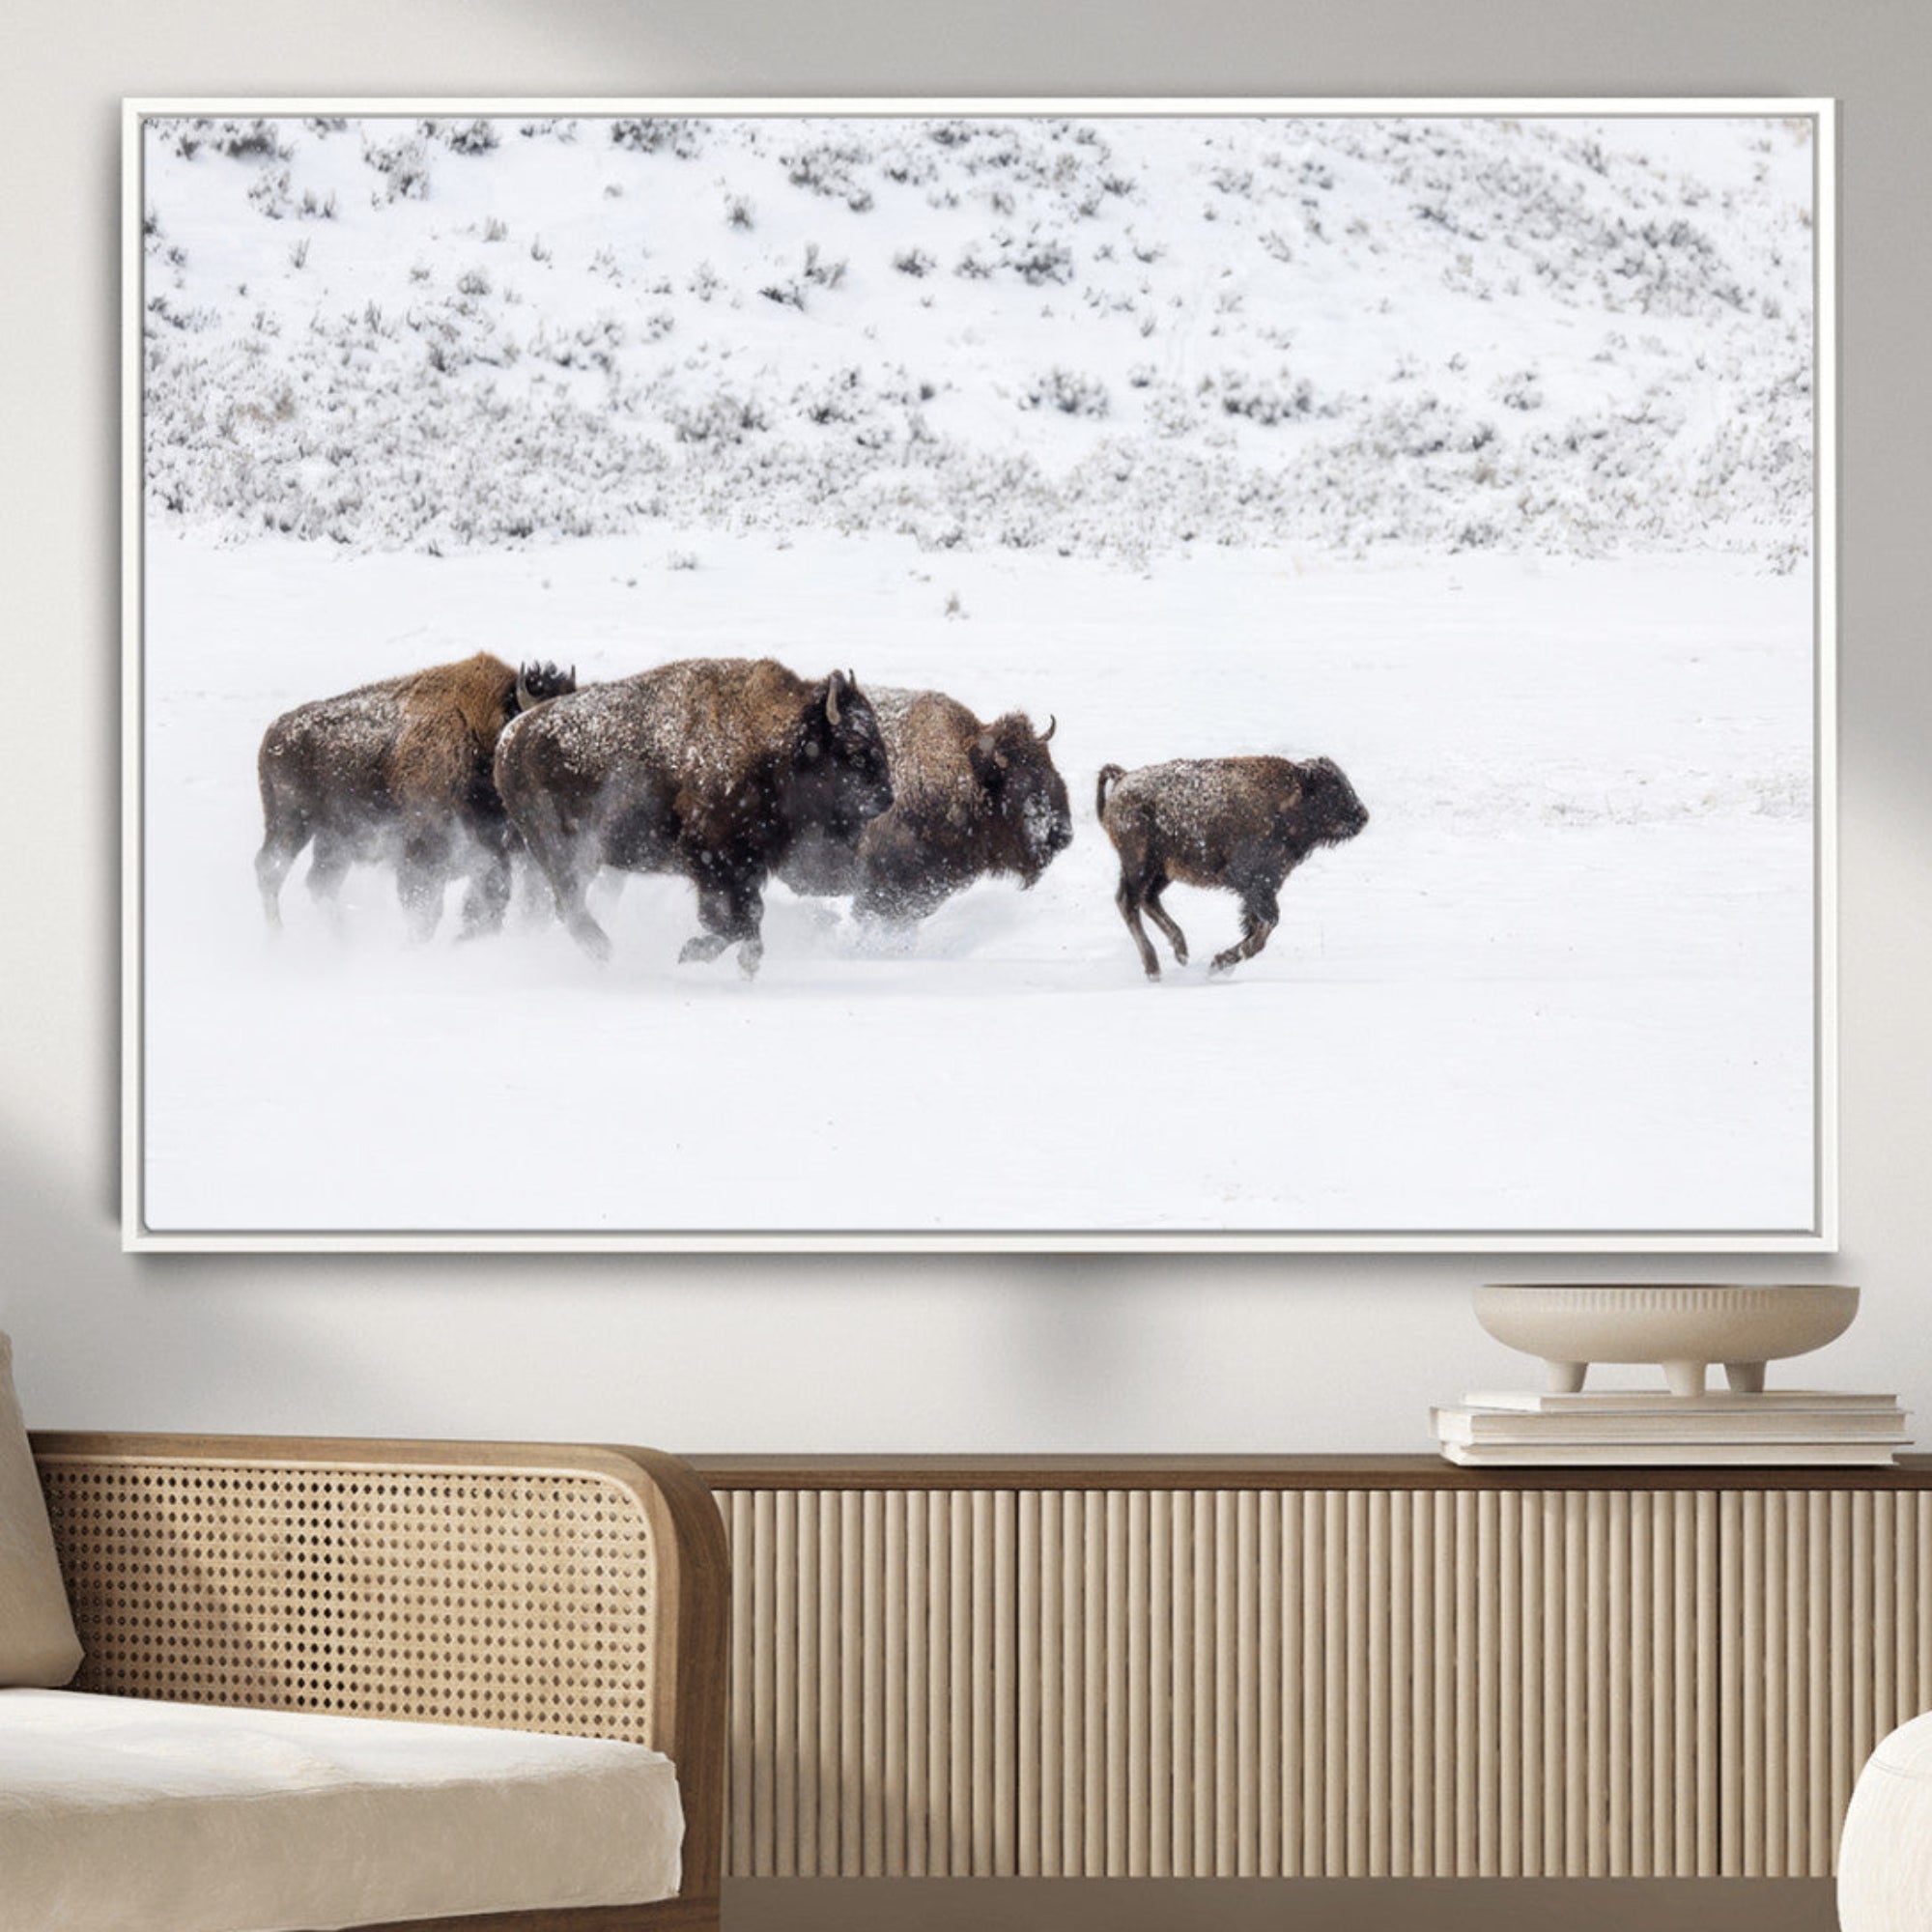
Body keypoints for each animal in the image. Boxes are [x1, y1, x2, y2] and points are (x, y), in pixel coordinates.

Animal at [255, 652, 576, 937]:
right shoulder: (425, 846)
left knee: (320, 884)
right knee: (270, 870)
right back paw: (277, 937)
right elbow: (424, 906)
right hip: (290, 821)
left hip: (334, 839)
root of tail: (274, 731)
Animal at [494, 657, 893, 976]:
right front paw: (693, 953)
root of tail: (511, 738)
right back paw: (605, 952)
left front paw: (745, 964)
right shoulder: (716, 860)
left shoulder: (746, 865)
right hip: (561, 850)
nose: (886, 798)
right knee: (569, 903)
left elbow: (749, 917)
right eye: (854, 749)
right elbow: (734, 920)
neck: (774, 744)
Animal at [1095, 755, 1368, 979]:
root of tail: (1122, 779)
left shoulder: (1261, 889)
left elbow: (1257, 926)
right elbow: (1266, 926)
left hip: (1161, 871)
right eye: (1332, 789)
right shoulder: (1257, 885)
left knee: (1148, 900)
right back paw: (1154, 969)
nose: (1362, 816)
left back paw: (1181, 952)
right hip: (1140, 865)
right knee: (1129, 903)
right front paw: (1219, 963)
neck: (1289, 800)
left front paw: (1221, 963)